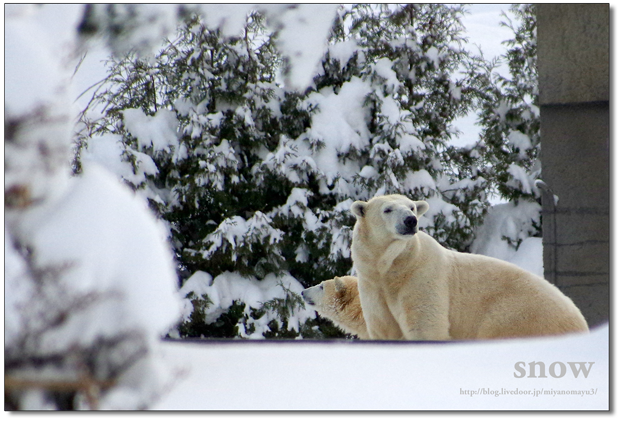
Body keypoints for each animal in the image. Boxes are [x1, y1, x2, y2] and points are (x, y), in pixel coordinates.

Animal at [352, 195, 588, 342]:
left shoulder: (422, 278)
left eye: (411, 207)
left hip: (516, 316)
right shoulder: (372, 283)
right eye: (387, 209)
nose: (410, 221)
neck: (393, 267)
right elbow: (383, 327)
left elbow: (425, 327)